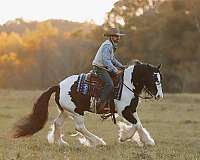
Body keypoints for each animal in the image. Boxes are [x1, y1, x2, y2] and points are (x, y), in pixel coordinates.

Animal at [12, 61, 162, 148]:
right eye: (154, 78)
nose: (159, 96)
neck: (126, 84)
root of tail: (58, 86)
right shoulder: (123, 111)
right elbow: (136, 124)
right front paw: (126, 137)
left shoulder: (131, 109)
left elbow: (139, 124)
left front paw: (144, 140)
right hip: (77, 112)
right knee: (79, 127)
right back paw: (97, 142)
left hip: (66, 111)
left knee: (57, 123)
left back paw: (61, 143)